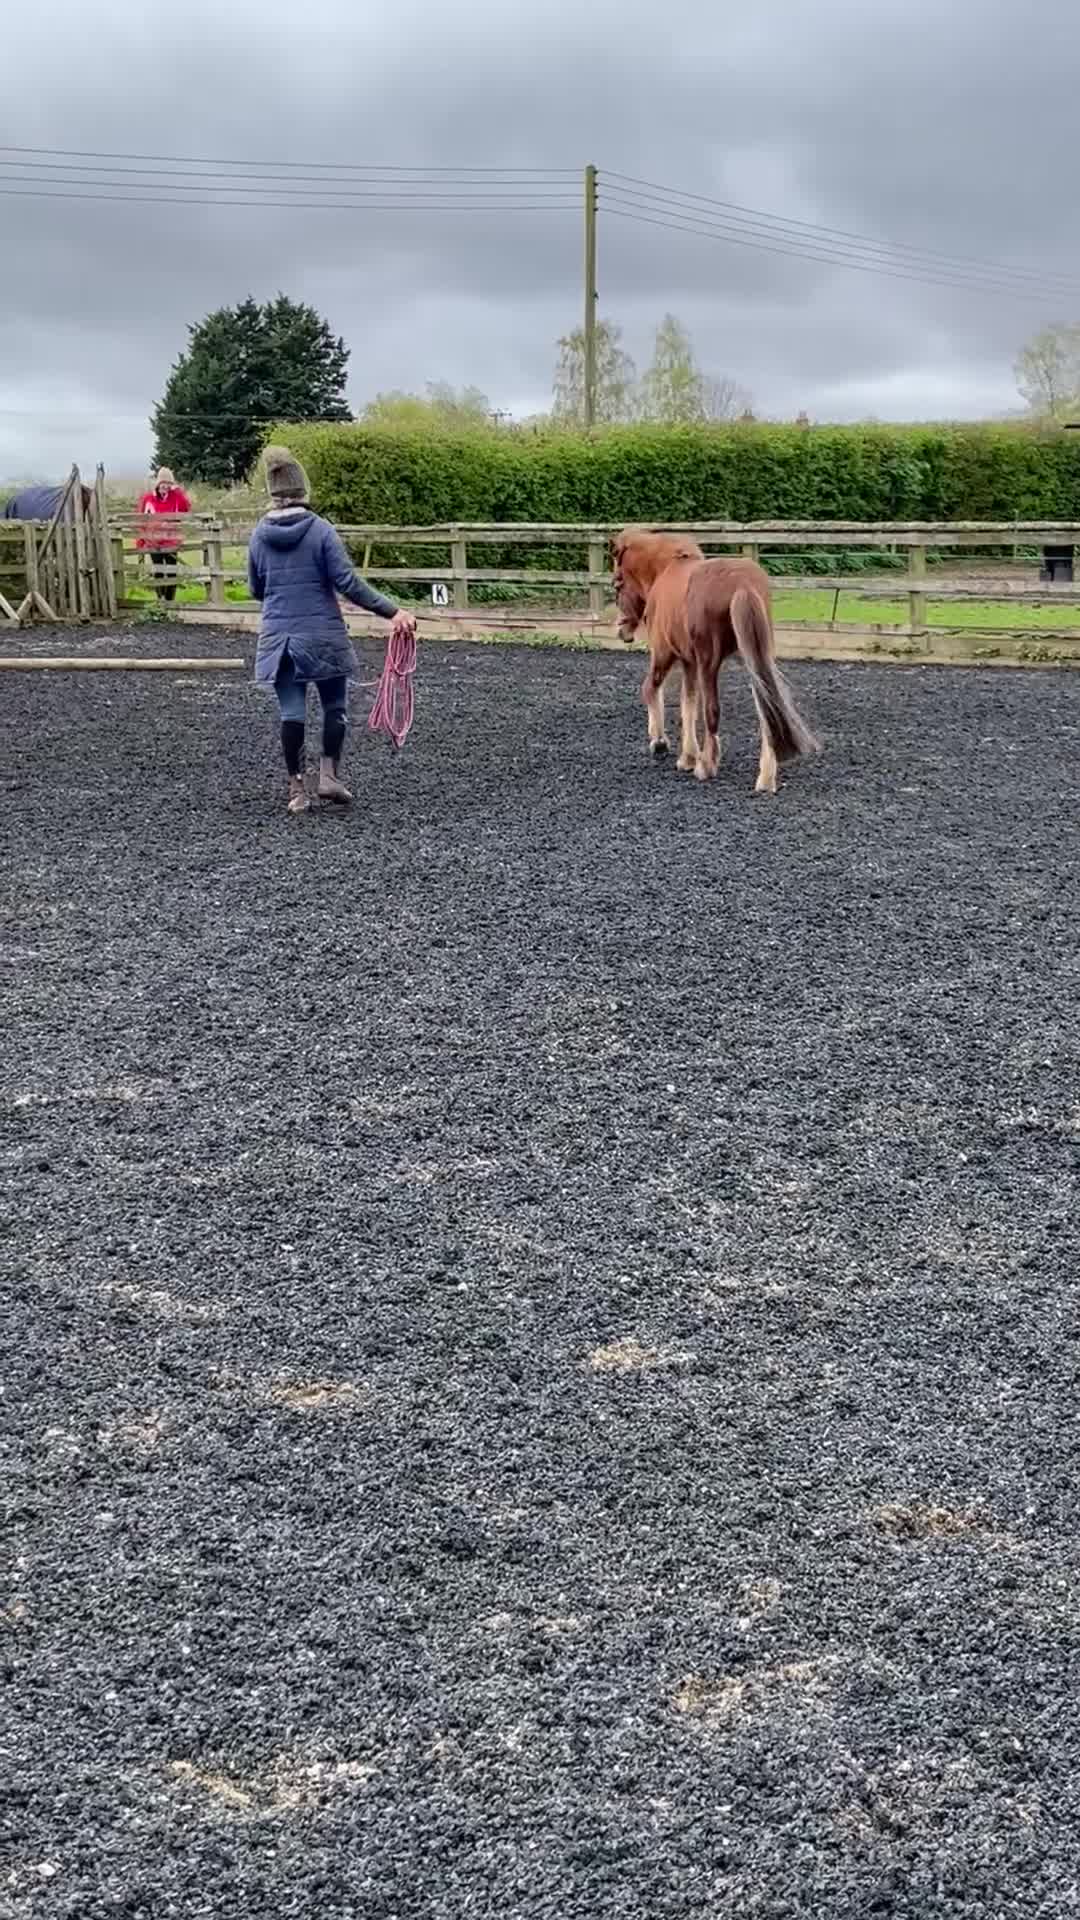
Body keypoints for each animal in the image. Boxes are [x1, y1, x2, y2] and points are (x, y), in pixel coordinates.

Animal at [611, 527, 819, 793]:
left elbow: (651, 689)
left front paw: (659, 742)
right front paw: (687, 757)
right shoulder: (689, 662)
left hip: (709, 664)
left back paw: (706, 767)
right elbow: (688, 705)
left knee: (713, 711)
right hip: (754, 660)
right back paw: (765, 779)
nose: (622, 632)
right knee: (767, 710)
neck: (666, 569)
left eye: (617, 585)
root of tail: (743, 583)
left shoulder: (665, 654)